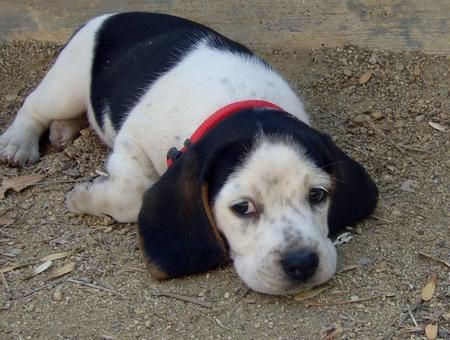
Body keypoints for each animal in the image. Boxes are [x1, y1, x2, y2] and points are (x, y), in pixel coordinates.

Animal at [0, 12, 380, 294]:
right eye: (242, 208)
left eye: (317, 195)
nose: (302, 263)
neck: (235, 104)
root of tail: (112, 14)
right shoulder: (131, 143)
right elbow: (131, 197)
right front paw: (83, 198)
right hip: (66, 83)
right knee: (34, 107)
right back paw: (18, 142)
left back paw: (64, 131)